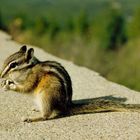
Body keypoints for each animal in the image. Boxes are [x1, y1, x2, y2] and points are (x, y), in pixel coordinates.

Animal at [0, 46, 140, 122]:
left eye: (13, 65)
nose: (1, 75)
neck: (29, 69)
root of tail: (66, 106)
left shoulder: (33, 78)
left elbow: (26, 88)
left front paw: (9, 86)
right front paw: (5, 82)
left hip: (46, 95)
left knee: (46, 115)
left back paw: (31, 118)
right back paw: (36, 109)